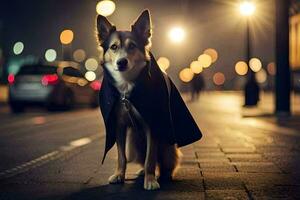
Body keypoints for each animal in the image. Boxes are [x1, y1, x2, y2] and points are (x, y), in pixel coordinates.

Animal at [97, 9, 203, 191]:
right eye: (113, 47)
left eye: (132, 46)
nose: (121, 62)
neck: (126, 86)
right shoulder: (119, 125)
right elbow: (121, 156)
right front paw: (119, 175)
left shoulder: (152, 123)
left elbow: (150, 159)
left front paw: (151, 180)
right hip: (133, 145)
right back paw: (141, 172)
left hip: (167, 146)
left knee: (165, 163)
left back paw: (163, 175)